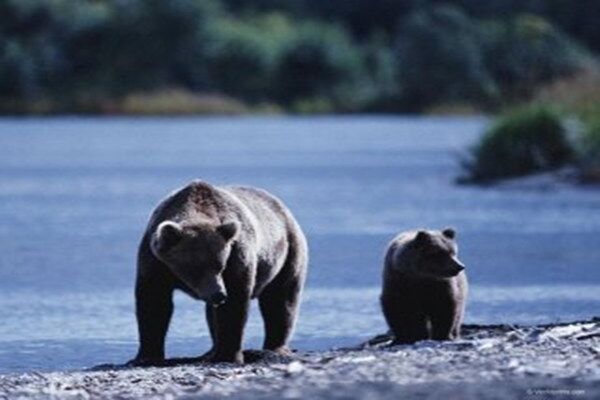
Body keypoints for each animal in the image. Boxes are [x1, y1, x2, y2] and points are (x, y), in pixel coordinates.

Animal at [130, 181, 310, 366]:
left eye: (220, 265)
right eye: (195, 267)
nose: (219, 294)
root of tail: (283, 208)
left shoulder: (236, 255)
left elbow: (235, 303)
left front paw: (229, 356)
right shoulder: (155, 262)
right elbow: (155, 302)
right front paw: (146, 356)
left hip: (289, 252)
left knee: (280, 299)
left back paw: (275, 348)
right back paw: (210, 351)